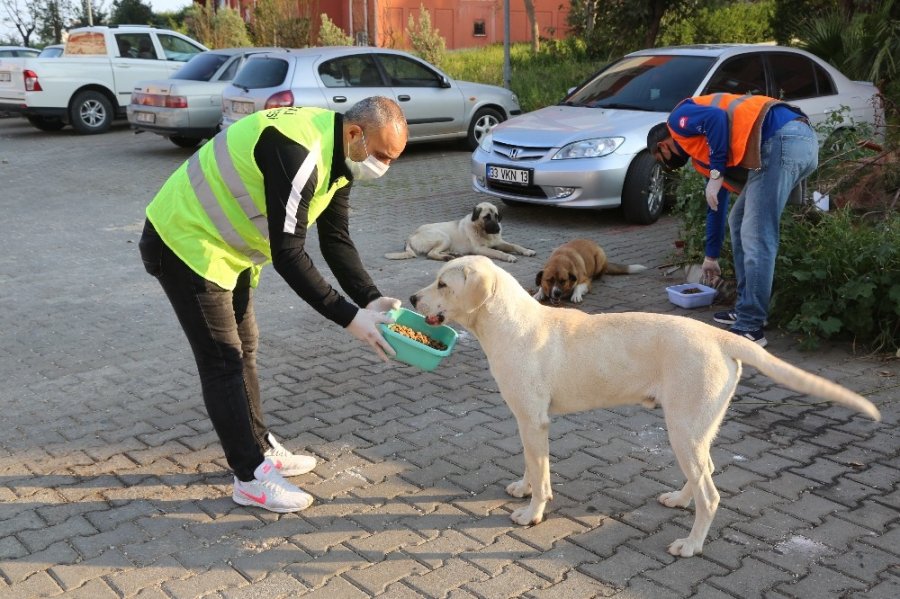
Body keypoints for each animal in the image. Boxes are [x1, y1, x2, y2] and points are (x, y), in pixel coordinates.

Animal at [382, 203, 536, 262]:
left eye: (496, 216)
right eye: (486, 217)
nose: (497, 229)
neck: (481, 230)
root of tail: (410, 236)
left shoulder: (499, 242)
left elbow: (515, 245)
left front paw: (527, 251)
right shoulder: (481, 249)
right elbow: (498, 252)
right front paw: (509, 257)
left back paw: (453, 254)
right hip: (444, 237)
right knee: (431, 254)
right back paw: (447, 257)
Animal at [412, 256, 884, 556]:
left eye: (443, 284)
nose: (413, 301)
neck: (511, 324)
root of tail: (720, 337)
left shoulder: (534, 421)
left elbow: (543, 476)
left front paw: (532, 513)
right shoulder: (527, 422)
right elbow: (532, 466)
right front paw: (524, 489)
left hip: (683, 429)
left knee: (711, 494)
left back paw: (691, 545)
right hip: (696, 428)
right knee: (706, 472)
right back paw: (679, 500)